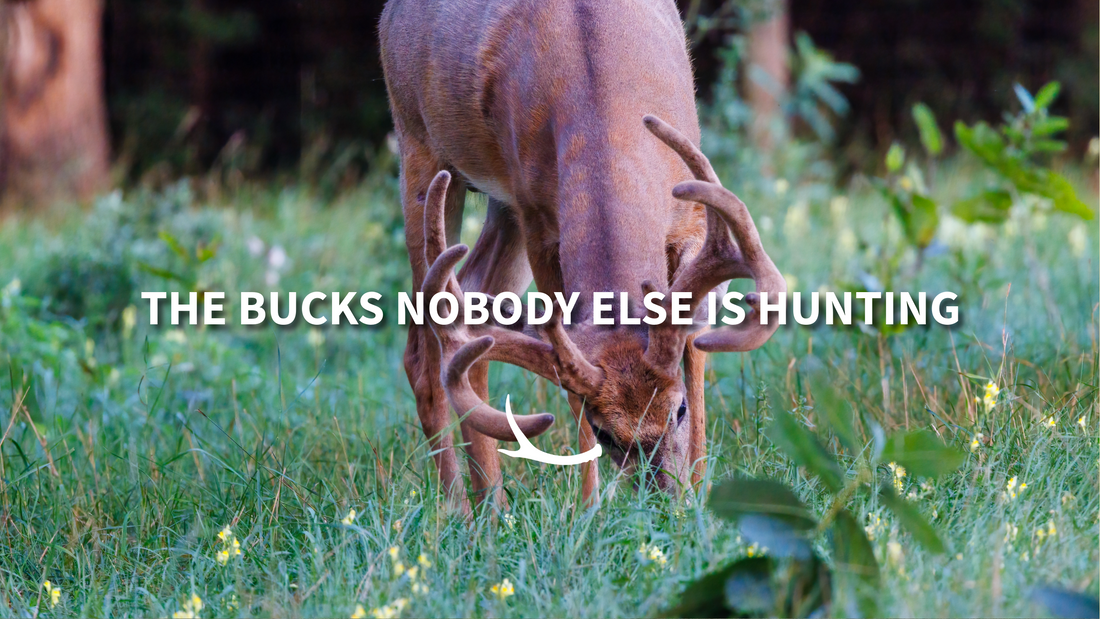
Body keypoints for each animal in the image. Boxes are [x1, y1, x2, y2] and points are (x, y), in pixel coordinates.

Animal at [379, 0, 785, 513]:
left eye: (678, 410)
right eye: (604, 432)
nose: (662, 502)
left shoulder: (691, 214)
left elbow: (694, 346)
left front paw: (700, 492)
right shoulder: (536, 216)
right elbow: (567, 367)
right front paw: (590, 509)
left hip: (499, 207)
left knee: (472, 317)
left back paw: (493, 509)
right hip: (419, 145)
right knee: (423, 353)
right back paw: (458, 511)